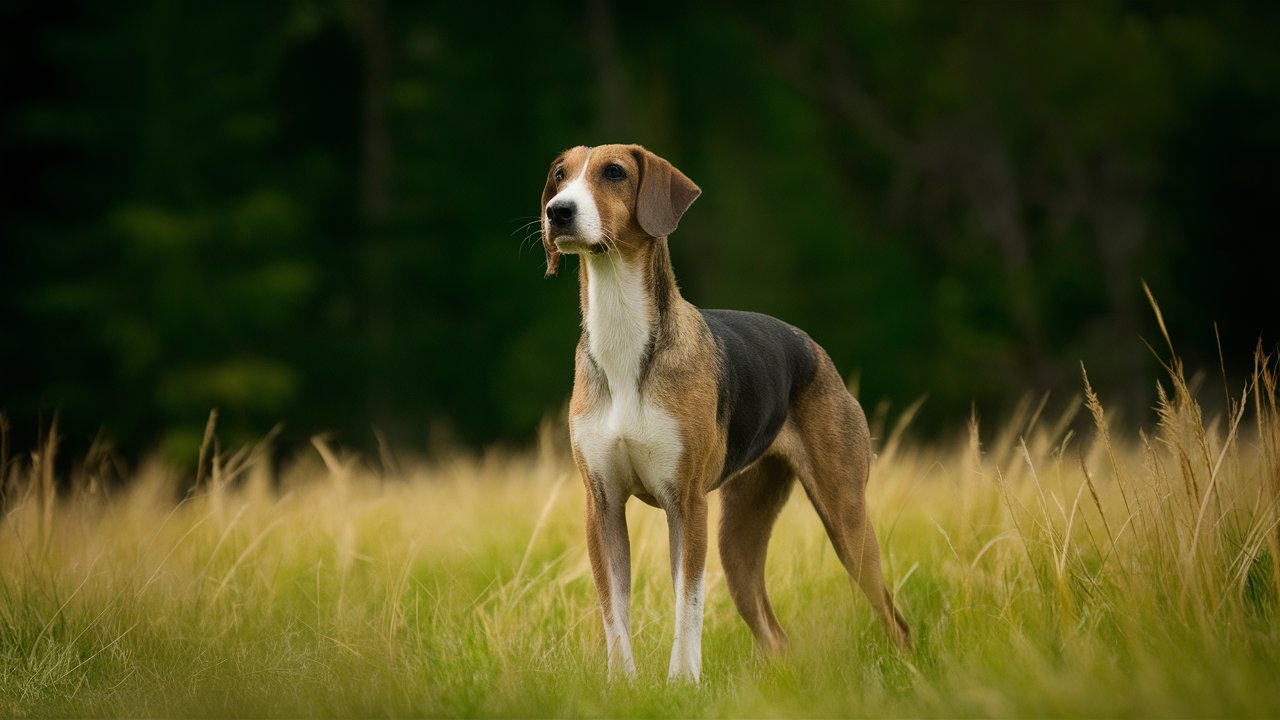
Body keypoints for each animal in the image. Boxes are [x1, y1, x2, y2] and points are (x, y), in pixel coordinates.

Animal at [540, 141, 911, 676]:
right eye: (559, 175)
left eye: (614, 173)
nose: (558, 212)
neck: (624, 337)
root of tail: (813, 347)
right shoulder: (602, 505)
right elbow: (615, 614)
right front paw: (623, 682)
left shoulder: (686, 503)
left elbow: (687, 605)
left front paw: (682, 681)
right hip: (738, 539)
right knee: (775, 635)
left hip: (846, 518)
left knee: (894, 619)